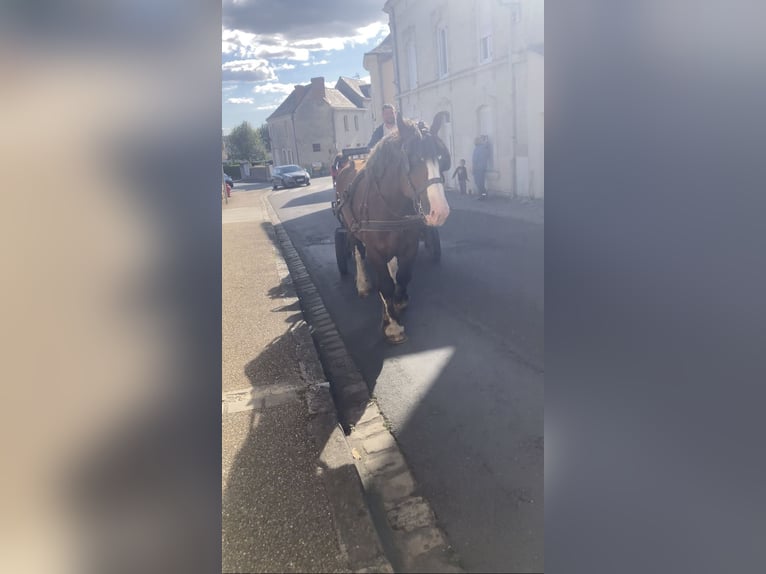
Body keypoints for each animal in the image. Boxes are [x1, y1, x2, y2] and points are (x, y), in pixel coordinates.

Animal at [334, 111, 450, 344]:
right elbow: (385, 284)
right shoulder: (375, 251)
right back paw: (363, 283)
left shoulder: (409, 246)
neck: (391, 205)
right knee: (357, 252)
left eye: (440, 158)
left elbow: (403, 276)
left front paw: (399, 301)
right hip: (351, 229)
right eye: (413, 159)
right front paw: (393, 326)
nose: (440, 211)